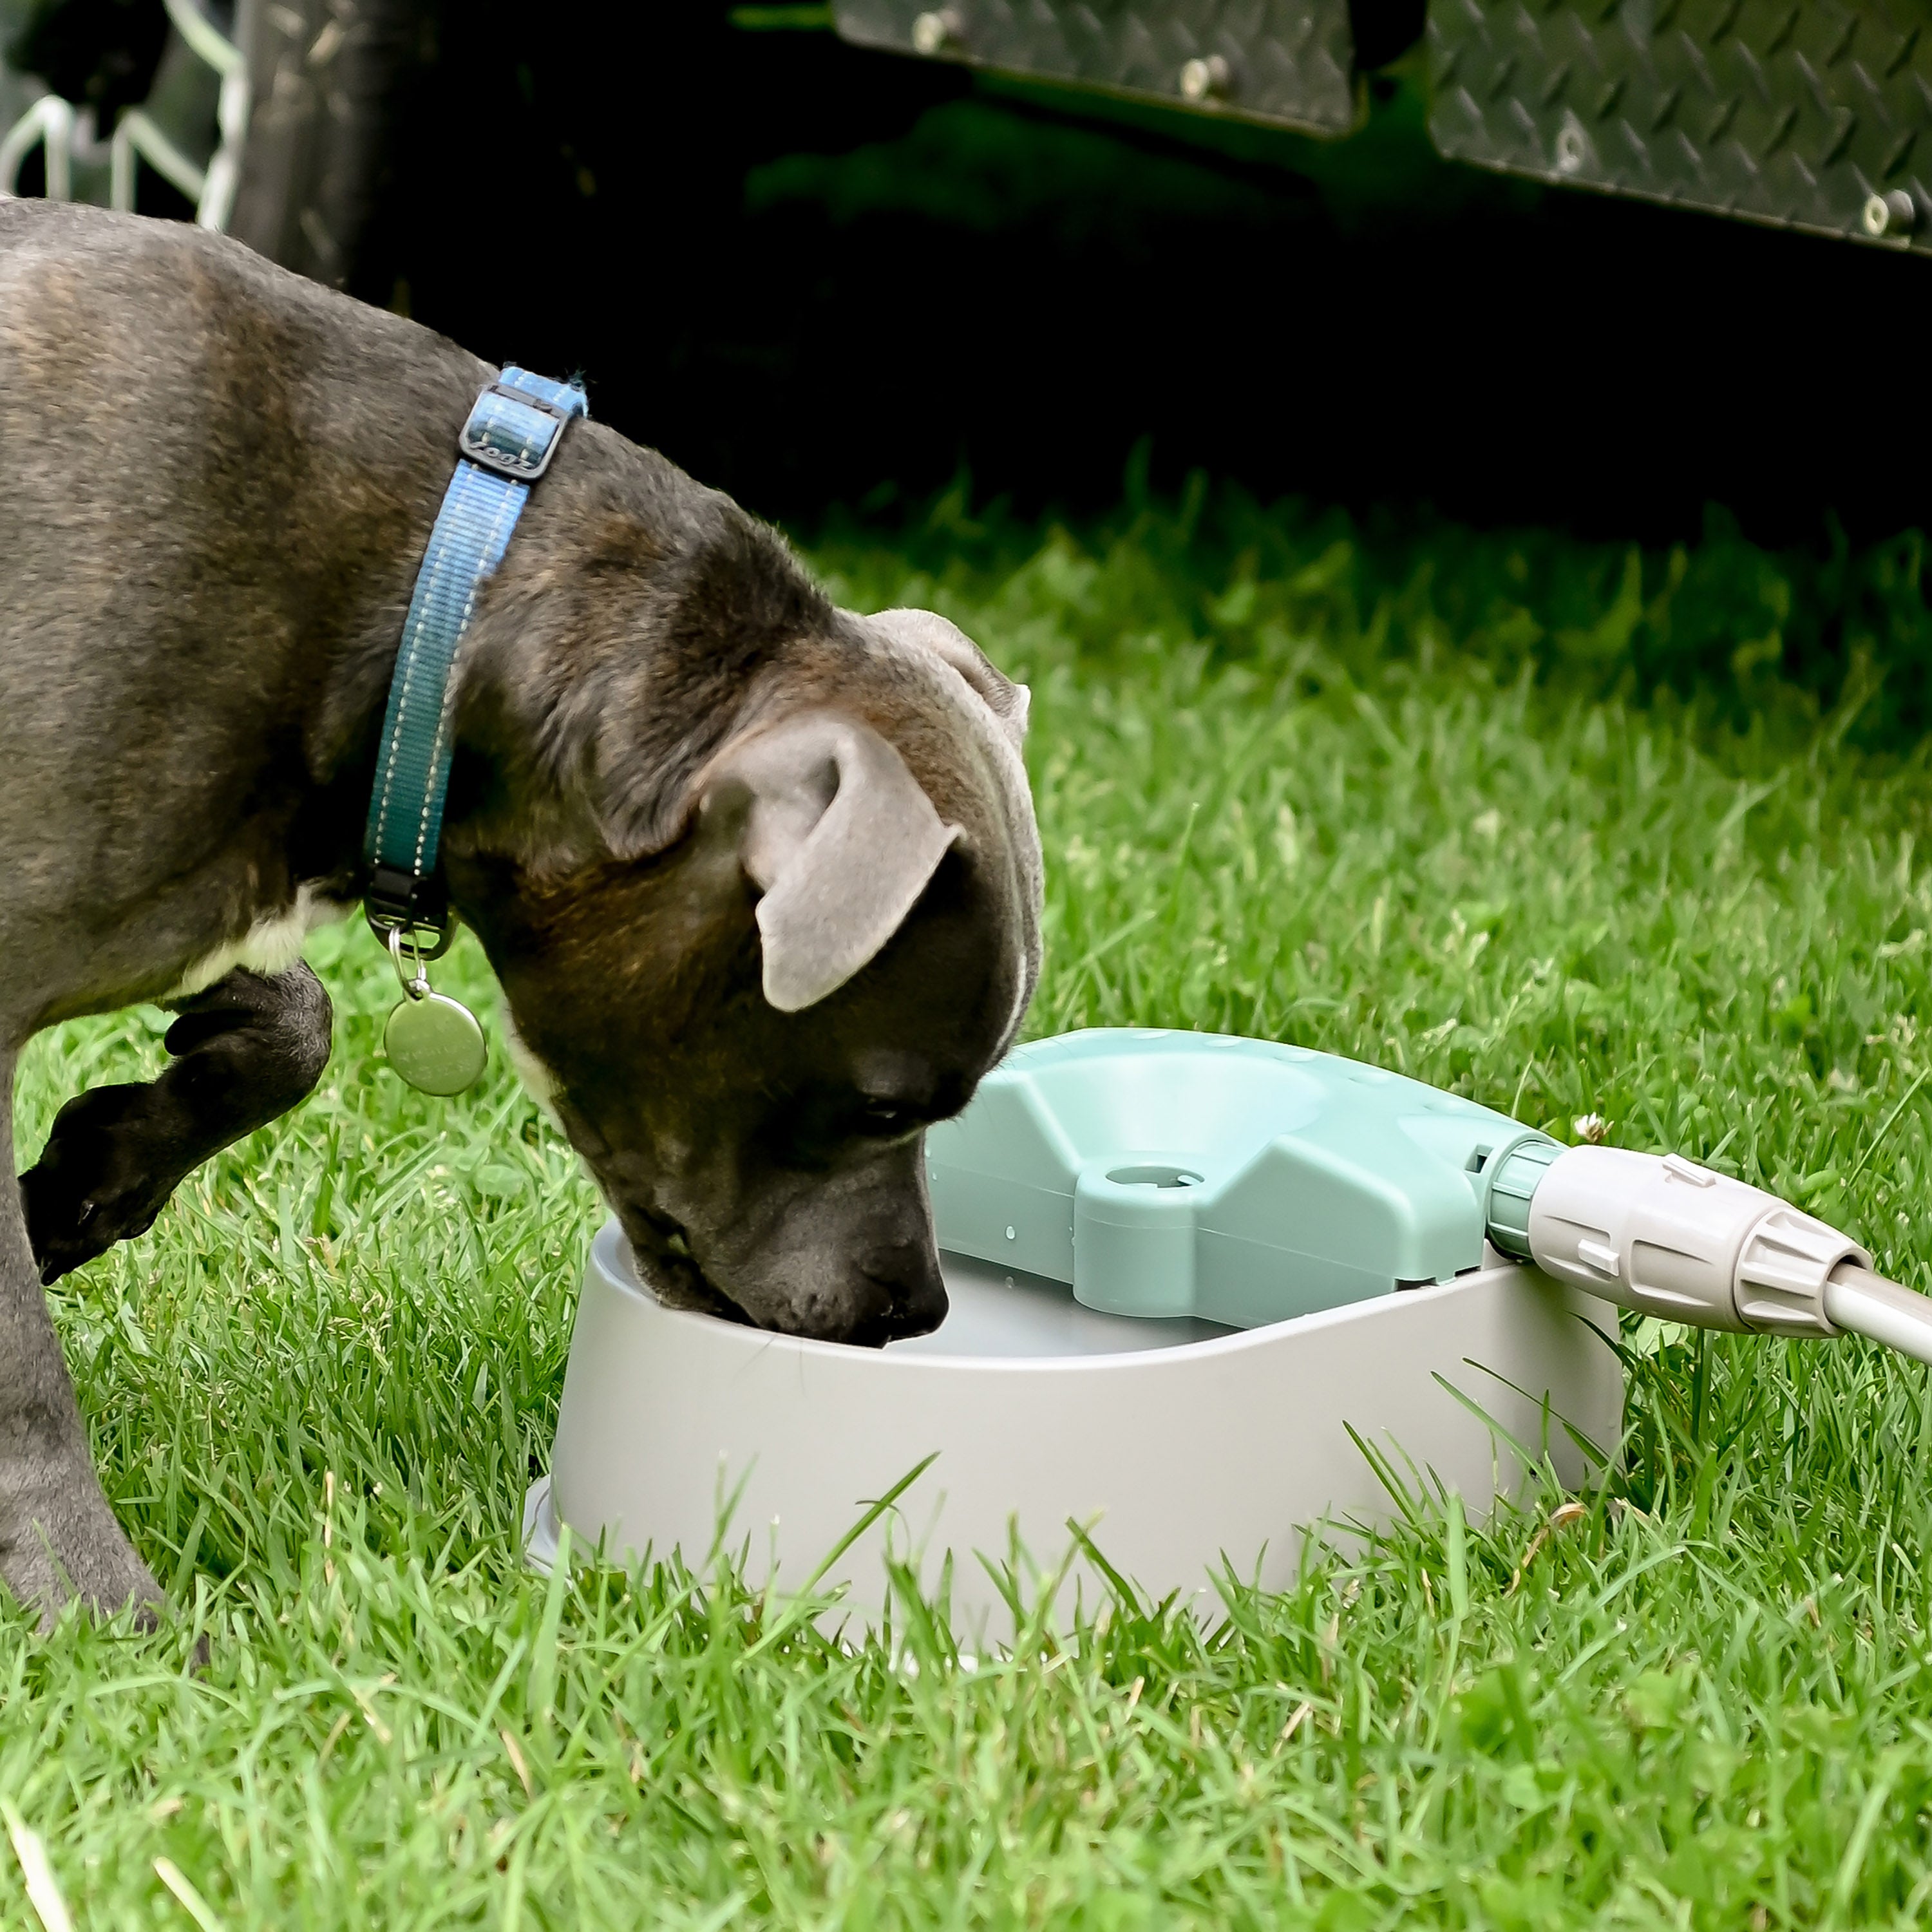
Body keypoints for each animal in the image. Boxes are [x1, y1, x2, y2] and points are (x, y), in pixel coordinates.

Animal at [0, 200, 1043, 1615]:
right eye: (889, 1108)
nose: (916, 1315)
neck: (429, 589)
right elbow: (21, 1378)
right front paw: (101, 1611)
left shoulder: (189, 879)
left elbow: (295, 1024)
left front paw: (87, 1176)